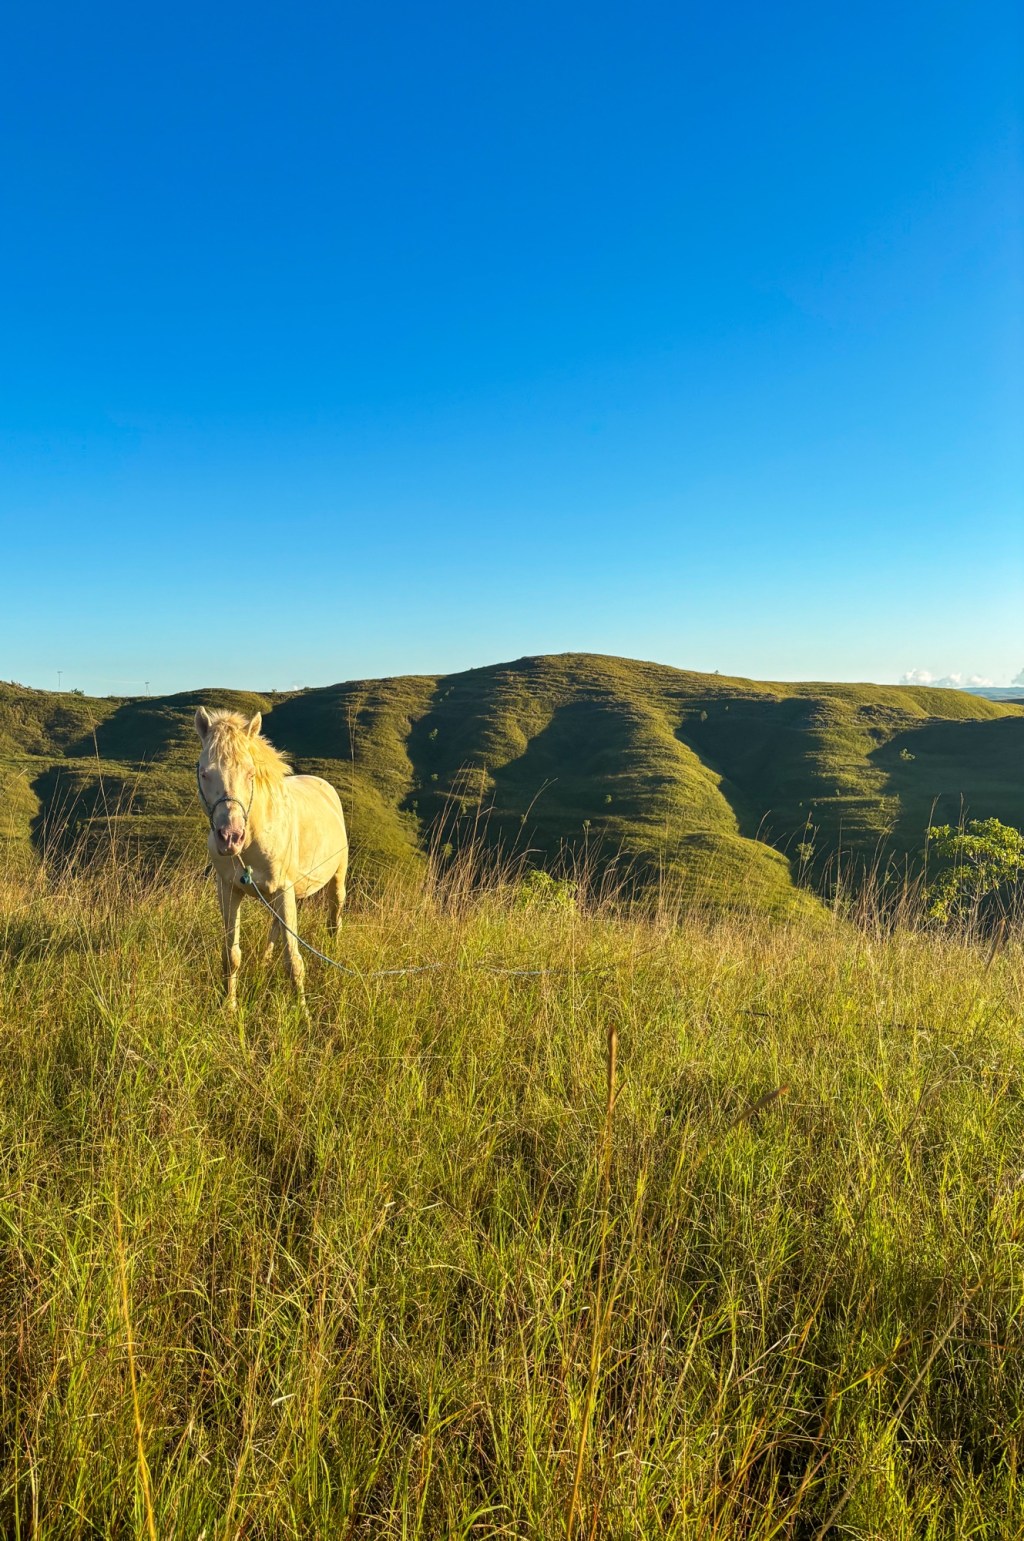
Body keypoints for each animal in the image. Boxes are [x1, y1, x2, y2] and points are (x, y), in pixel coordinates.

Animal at [194, 707, 348, 1010]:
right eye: (205, 773)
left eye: (250, 772)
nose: (230, 837)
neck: (253, 836)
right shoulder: (228, 890)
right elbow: (231, 955)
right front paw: (229, 1007)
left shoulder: (283, 890)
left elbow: (294, 961)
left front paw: (303, 1013)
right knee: (276, 927)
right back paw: (264, 964)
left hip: (335, 879)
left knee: (333, 919)